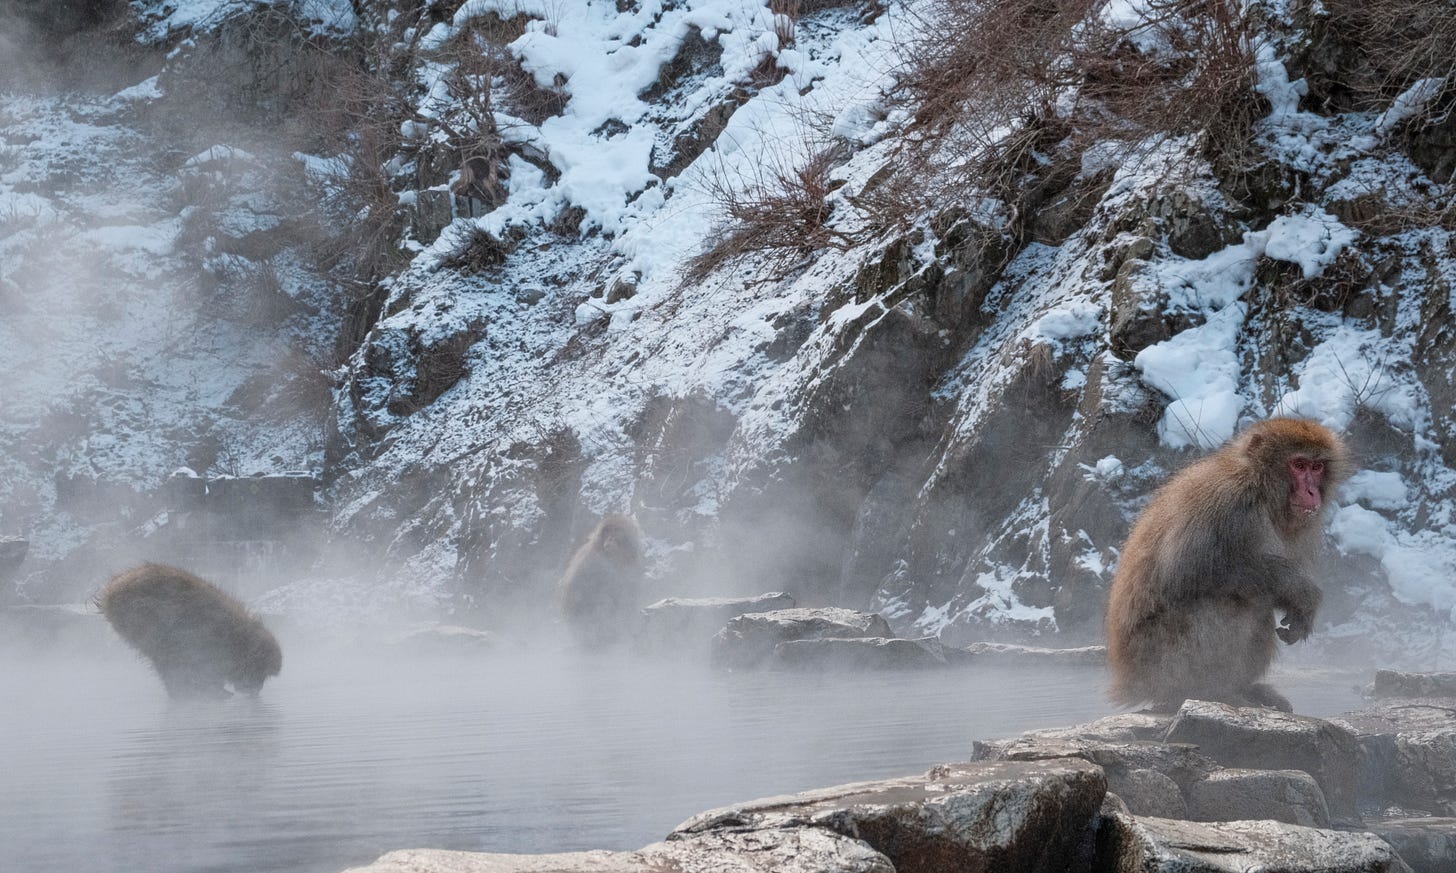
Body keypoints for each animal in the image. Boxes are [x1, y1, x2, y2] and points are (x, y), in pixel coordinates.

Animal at [97, 563, 282, 700]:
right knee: (165, 652)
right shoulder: (208, 640)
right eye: (260, 670)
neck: (238, 639)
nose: (257, 689)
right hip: (138, 617)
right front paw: (213, 687)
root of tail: (111, 590)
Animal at [556, 514, 646, 649]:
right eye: (607, 532)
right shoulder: (590, 559)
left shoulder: (633, 563)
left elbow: (631, 590)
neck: (616, 559)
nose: (610, 539)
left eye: (616, 530)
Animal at [1105, 417, 1352, 713]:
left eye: (1317, 467)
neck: (1261, 489)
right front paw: (1300, 590)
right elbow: (1186, 572)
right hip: (1161, 661)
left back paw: (1245, 689)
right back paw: (1209, 691)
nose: (1312, 491)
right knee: (1231, 601)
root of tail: (1129, 683)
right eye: (1299, 464)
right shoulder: (1228, 502)